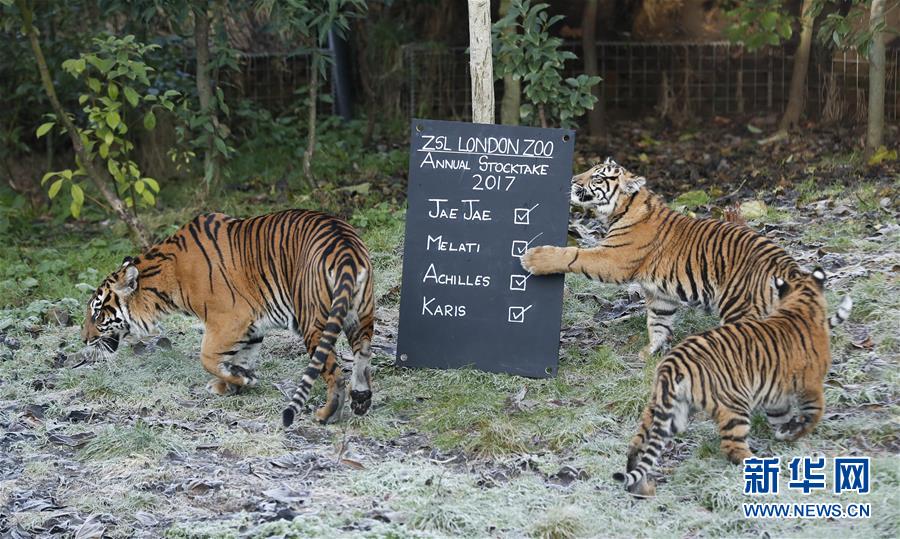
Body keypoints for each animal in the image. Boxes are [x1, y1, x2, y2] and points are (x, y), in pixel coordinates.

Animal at [77, 210, 372, 426]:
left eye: (97, 312)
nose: (83, 339)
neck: (164, 279)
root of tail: (346, 247)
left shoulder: (229, 320)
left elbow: (207, 357)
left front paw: (240, 380)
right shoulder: (252, 326)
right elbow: (240, 357)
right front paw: (236, 382)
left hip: (312, 322)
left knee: (334, 373)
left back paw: (327, 414)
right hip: (362, 317)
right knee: (362, 358)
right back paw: (361, 400)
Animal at [520, 158, 800, 360]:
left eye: (597, 176)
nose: (573, 179)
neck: (622, 208)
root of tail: (786, 264)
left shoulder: (612, 258)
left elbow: (575, 255)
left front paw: (534, 258)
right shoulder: (661, 295)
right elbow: (658, 323)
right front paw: (650, 353)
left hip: (741, 309)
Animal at [612, 270, 852, 498]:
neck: (799, 303)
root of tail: (673, 364)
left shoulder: (777, 396)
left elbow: (781, 417)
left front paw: (786, 435)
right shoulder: (810, 384)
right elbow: (815, 412)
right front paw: (797, 434)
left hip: (665, 410)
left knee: (636, 445)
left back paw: (640, 488)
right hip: (734, 406)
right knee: (732, 448)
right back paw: (757, 465)